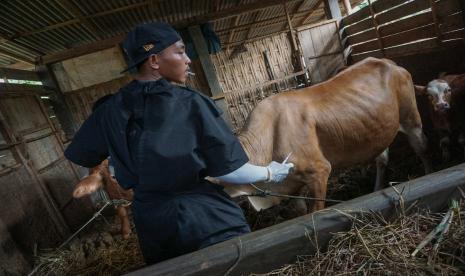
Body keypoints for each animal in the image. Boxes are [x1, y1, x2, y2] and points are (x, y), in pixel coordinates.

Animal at [222, 57, 432, 213]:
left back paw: (429, 173)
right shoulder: (291, 185)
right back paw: (376, 188)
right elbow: (300, 211)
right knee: (382, 158)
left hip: (411, 119)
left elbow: (315, 212)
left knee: (422, 146)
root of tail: (387, 61)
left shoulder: (319, 171)